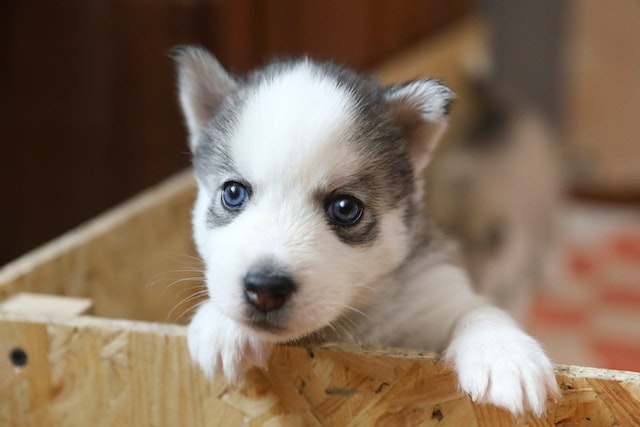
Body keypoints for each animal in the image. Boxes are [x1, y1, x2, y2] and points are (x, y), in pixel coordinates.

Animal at [172, 47, 556, 418]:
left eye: (345, 208)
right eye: (233, 193)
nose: (265, 288)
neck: (352, 321)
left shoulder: (435, 294)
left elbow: (477, 311)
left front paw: (503, 353)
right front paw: (223, 324)